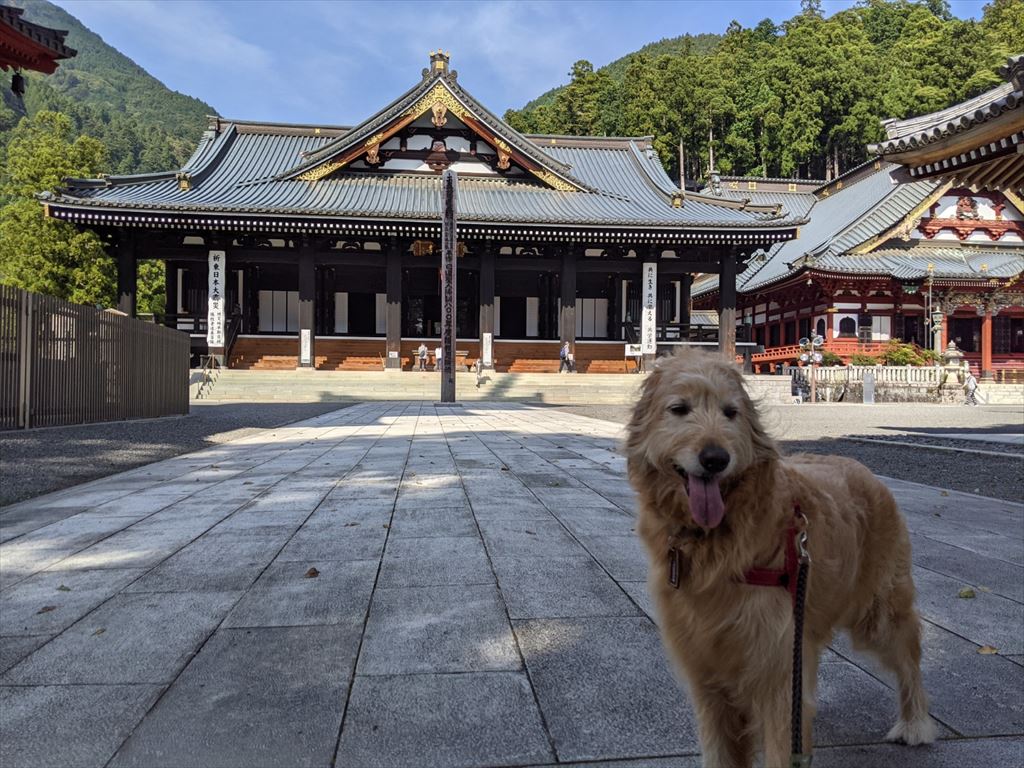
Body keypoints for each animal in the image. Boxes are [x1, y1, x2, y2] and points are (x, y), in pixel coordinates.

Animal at [622, 354, 937, 768]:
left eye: (731, 413)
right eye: (679, 409)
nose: (715, 459)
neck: (717, 539)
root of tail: (861, 467)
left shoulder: (774, 662)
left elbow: (780, 733)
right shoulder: (707, 672)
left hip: (879, 610)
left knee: (909, 657)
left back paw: (915, 722)